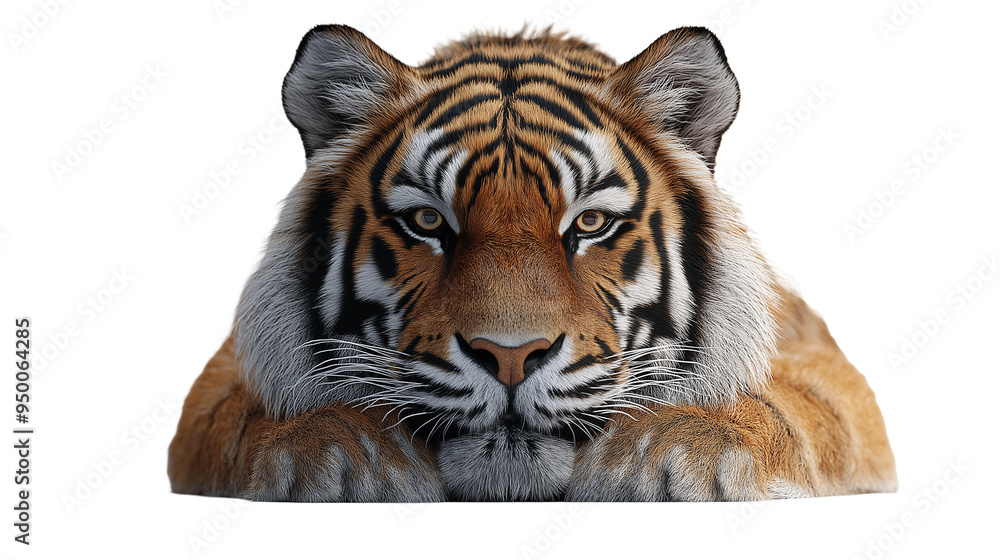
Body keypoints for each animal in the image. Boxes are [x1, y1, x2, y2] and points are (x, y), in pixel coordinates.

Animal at [167, 24, 897, 502]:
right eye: (428, 222)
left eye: (591, 224)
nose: (511, 356)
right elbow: (235, 412)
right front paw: (341, 454)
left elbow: (802, 406)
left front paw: (672, 449)